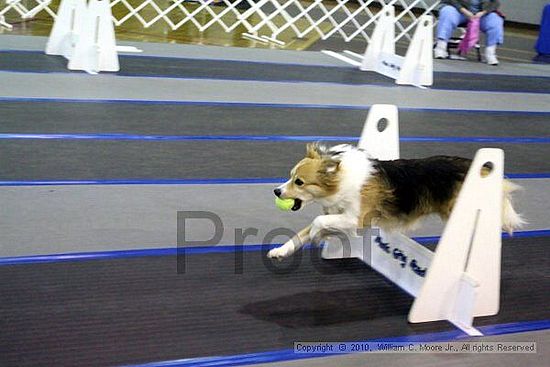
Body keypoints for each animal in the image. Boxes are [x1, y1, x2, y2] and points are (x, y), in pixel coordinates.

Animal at [270, 142, 528, 260]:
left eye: (299, 182)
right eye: (291, 176)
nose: (276, 191)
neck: (342, 178)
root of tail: (476, 167)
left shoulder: (357, 219)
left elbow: (317, 222)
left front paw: (316, 234)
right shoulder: (339, 214)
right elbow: (302, 233)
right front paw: (281, 251)